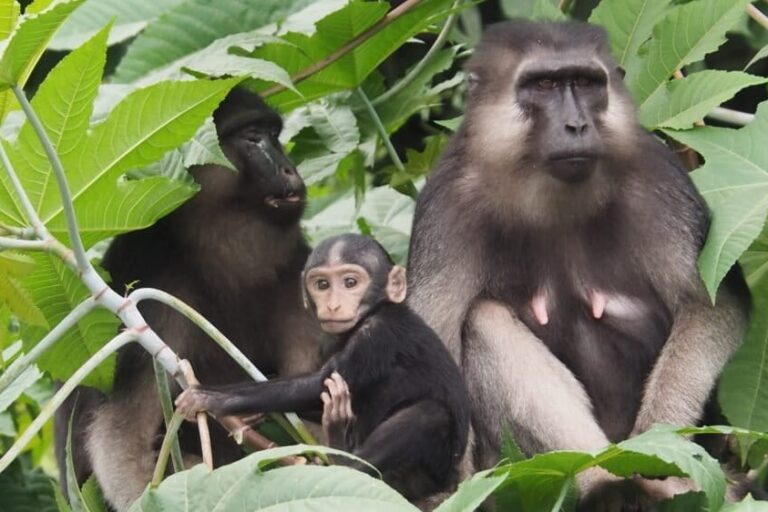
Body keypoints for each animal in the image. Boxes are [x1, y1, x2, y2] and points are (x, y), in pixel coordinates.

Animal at [53, 88, 323, 511]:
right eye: (251, 138)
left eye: (273, 135)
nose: (287, 168)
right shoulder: (152, 297)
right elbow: (120, 445)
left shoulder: (296, 275)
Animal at [175, 233, 471, 504]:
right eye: (322, 284)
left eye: (351, 282)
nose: (333, 304)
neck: (372, 312)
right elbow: (318, 394)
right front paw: (253, 414)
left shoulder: (377, 334)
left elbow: (316, 383)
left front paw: (210, 396)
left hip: (429, 475)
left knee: (429, 414)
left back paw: (341, 453)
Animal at [406, 20, 750, 510]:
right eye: (544, 85)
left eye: (587, 84)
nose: (576, 124)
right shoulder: (446, 205)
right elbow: (433, 355)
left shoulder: (656, 178)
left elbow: (711, 307)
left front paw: (661, 447)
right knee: (482, 320)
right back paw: (603, 483)